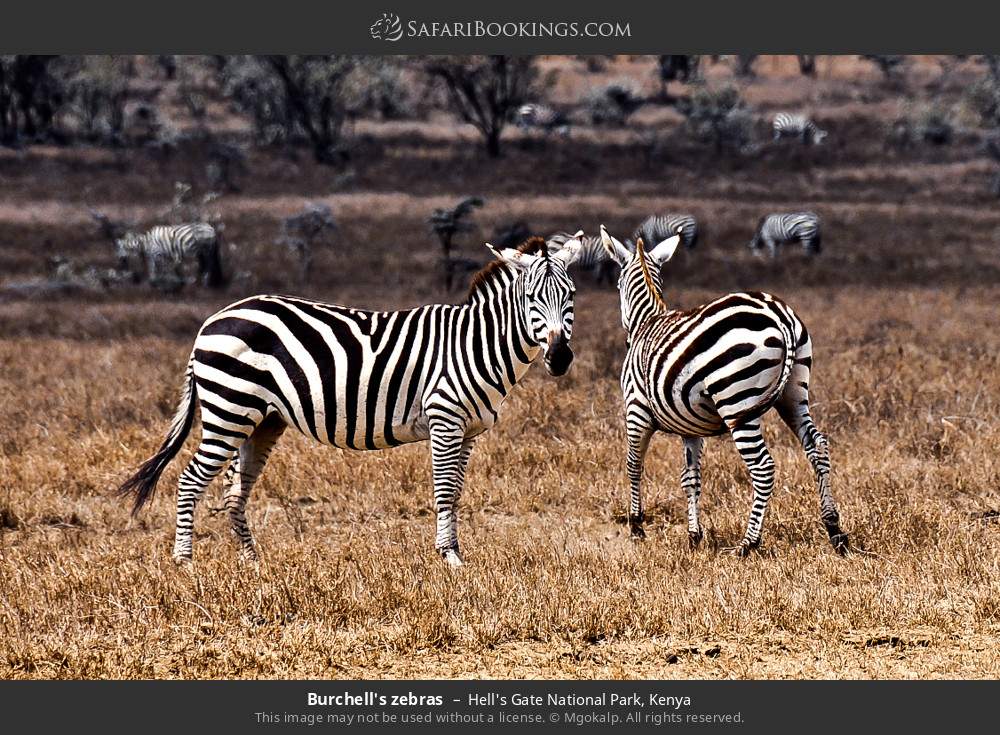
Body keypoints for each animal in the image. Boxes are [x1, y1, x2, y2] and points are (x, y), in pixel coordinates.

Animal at [118, 236, 584, 568]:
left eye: (572, 296)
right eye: (531, 299)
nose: (560, 357)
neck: (475, 345)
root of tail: (212, 320)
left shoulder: (469, 431)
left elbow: (456, 492)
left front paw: (455, 552)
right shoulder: (444, 419)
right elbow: (443, 490)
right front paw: (449, 558)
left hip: (262, 419)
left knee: (235, 491)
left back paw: (253, 563)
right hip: (228, 409)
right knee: (190, 480)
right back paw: (185, 563)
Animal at [598, 225, 848, 556]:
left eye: (615, 284)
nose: (626, 334)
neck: (647, 321)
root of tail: (778, 314)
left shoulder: (636, 411)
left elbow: (633, 464)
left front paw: (637, 526)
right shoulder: (689, 426)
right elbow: (691, 478)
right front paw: (694, 536)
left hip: (736, 401)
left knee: (763, 467)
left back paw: (747, 544)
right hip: (794, 394)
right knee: (818, 447)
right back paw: (835, 531)